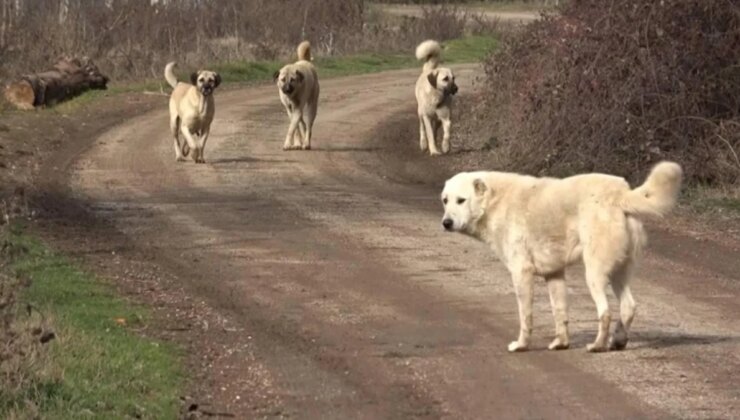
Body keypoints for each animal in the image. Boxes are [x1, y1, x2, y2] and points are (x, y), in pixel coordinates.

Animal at [440, 162, 684, 352]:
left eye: (461, 200)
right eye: (445, 200)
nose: (446, 223)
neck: (494, 202)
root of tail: (620, 193)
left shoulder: (521, 273)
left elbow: (525, 316)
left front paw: (521, 345)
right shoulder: (554, 274)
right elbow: (560, 312)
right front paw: (561, 343)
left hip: (594, 274)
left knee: (605, 312)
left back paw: (597, 346)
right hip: (619, 273)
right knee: (629, 307)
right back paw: (618, 341)